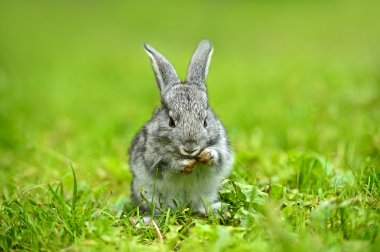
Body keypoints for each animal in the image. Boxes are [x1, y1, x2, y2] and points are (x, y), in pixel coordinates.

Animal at [129, 39, 233, 215]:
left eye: (205, 121)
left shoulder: (222, 147)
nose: (190, 147)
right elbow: (165, 164)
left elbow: (219, 157)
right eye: (171, 122)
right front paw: (184, 165)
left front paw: (207, 155)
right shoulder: (153, 157)